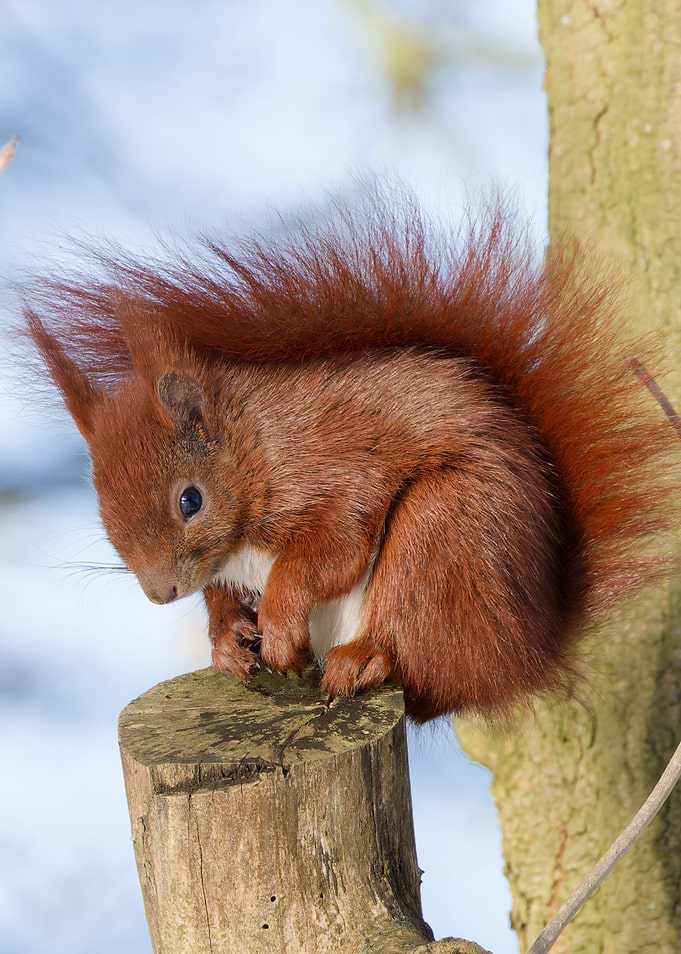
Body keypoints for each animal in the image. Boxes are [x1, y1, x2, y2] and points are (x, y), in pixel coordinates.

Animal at [21, 190, 676, 723]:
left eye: (191, 500)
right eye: (101, 509)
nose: (161, 594)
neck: (255, 446)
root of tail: (529, 650)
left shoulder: (332, 472)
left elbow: (329, 549)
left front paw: (277, 622)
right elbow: (224, 595)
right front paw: (227, 640)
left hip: (445, 536)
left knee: (422, 657)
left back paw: (364, 658)